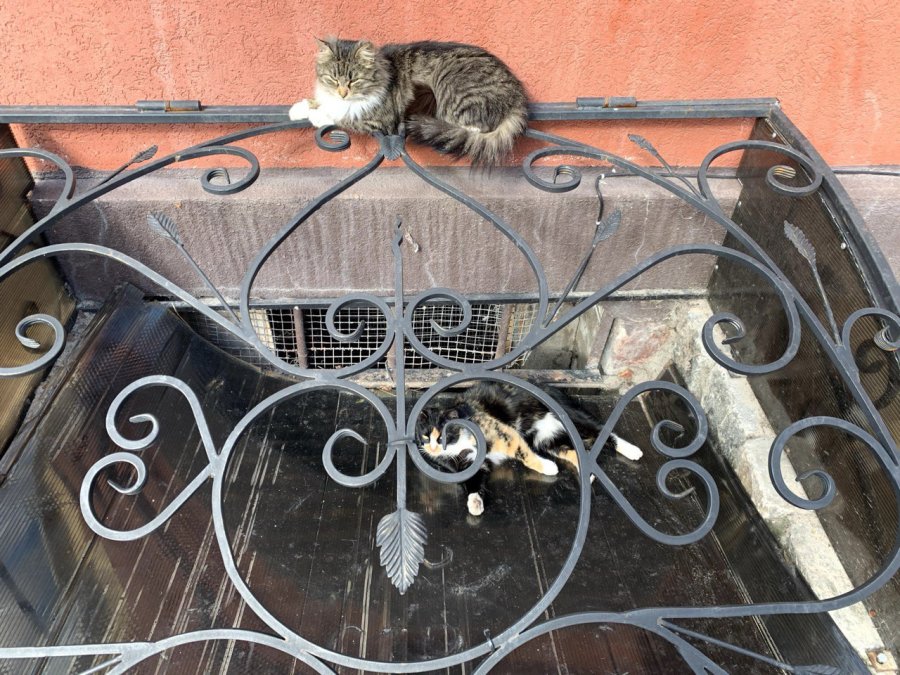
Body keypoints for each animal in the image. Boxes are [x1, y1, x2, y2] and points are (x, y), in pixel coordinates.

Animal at [288, 38, 529, 166]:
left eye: (354, 80)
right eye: (333, 78)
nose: (342, 93)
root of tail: (517, 94)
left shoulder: (378, 118)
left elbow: (342, 115)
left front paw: (318, 115)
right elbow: (320, 102)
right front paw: (298, 108)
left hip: (450, 86)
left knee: (472, 127)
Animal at [415, 383, 643, 516]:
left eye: (443, 436)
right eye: (426, 436)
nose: (433, 448)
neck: (459, 443)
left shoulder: (502, 432)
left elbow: (523, 454)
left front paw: (547, 467)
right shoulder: (465, 465)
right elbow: (473, 482)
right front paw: (475, 504)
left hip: (570, 415)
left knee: (601, 431)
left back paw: (632, 450)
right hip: (545, 438)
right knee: (574, 450)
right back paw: (587, 472)